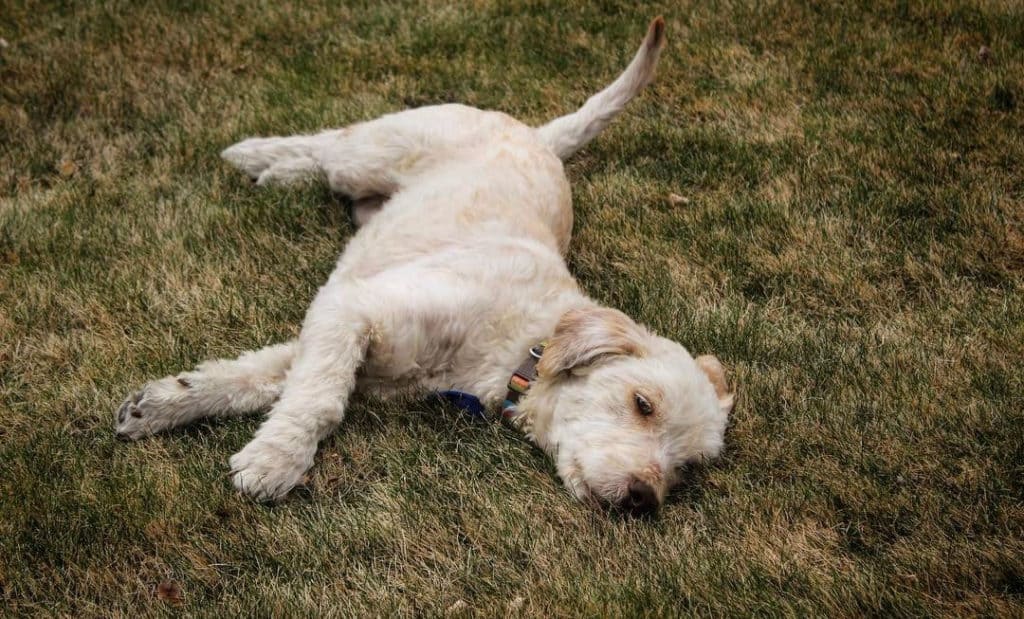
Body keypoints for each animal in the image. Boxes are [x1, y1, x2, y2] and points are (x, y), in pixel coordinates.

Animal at [116, 16, 733, 514]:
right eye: (642, 404)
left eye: (685, 468)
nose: (644, 499)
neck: (523, 342)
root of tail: (536, 135)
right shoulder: (354, 310)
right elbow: (318, 399)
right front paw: (275, 460)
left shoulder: (345, 339)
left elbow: (261, 376)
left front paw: (164, 404)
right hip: (370, 153)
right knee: (327, 143)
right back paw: (260, 158)